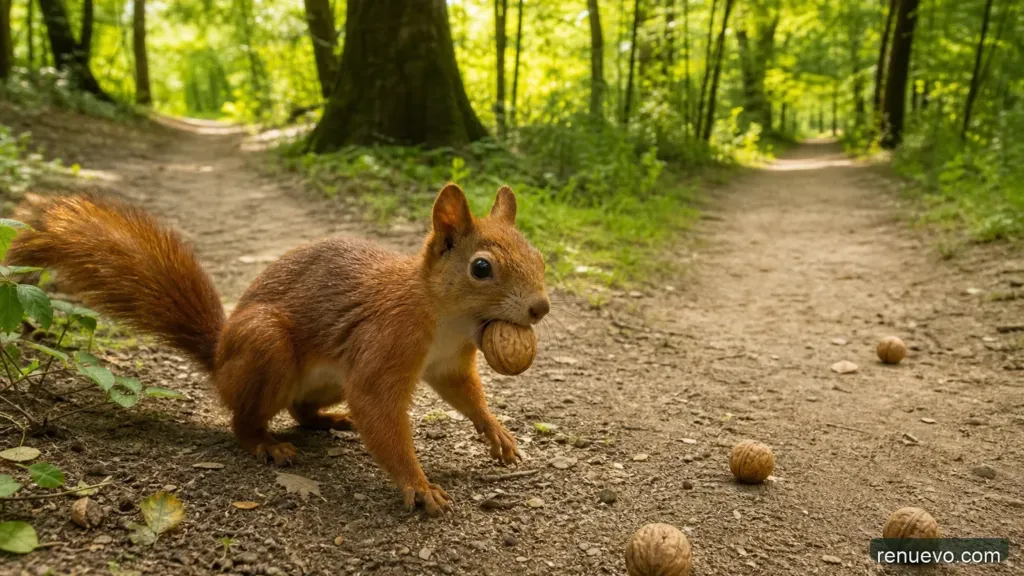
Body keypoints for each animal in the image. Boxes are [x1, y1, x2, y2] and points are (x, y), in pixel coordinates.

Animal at [7, 183, 550, 516]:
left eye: (540, 256)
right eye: (481, 268)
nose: (541, 307)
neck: (447, 318)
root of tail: (220, 358)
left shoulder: (450, 363)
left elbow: (466, 396)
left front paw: (497, 434)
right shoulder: (386, 339)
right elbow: (377, 407)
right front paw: (418, 485)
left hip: (322, 380)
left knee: (301, 409)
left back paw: (332, 420)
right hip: (264, 347)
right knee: (244, 421)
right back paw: (267, 444)